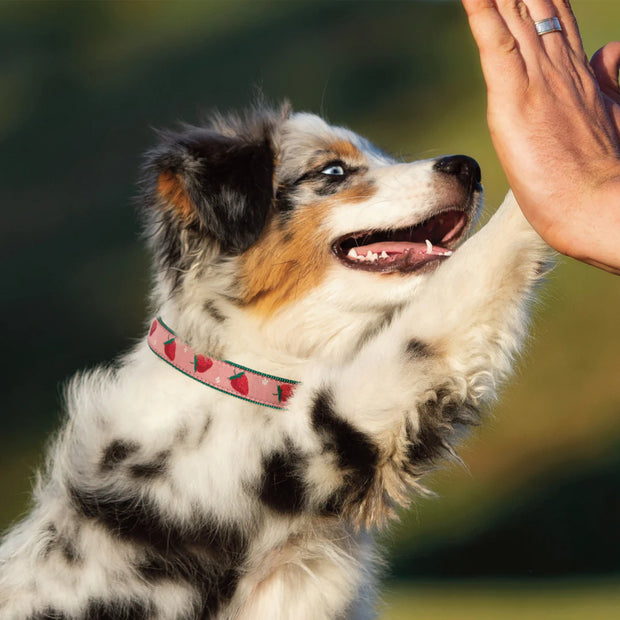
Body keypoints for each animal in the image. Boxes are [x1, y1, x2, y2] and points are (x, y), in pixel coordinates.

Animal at [0, 104, 552, 616]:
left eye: (385, 156)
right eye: (333, 171)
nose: (468, 167)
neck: (238, 371)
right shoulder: (329, 426)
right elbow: (457, 290)